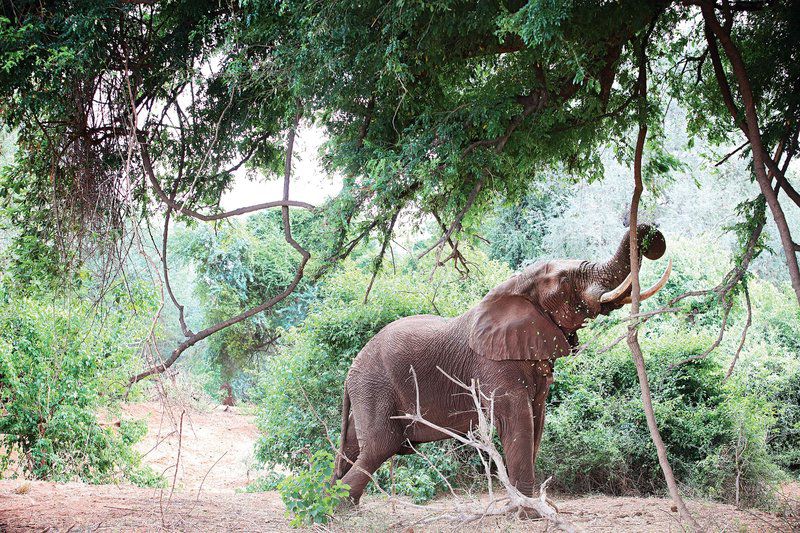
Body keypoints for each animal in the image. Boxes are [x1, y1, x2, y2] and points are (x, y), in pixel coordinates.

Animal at [334, 224, 672, 502]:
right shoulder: (492, 365)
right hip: (375, 387)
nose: (652, 238)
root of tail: (349, 375)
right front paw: (528, 513)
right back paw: (340, 508)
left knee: (354, 446)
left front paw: (526, 504)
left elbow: (537, 420)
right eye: (565, 280)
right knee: (379, 445)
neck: (517, 286)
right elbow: (517, 420)